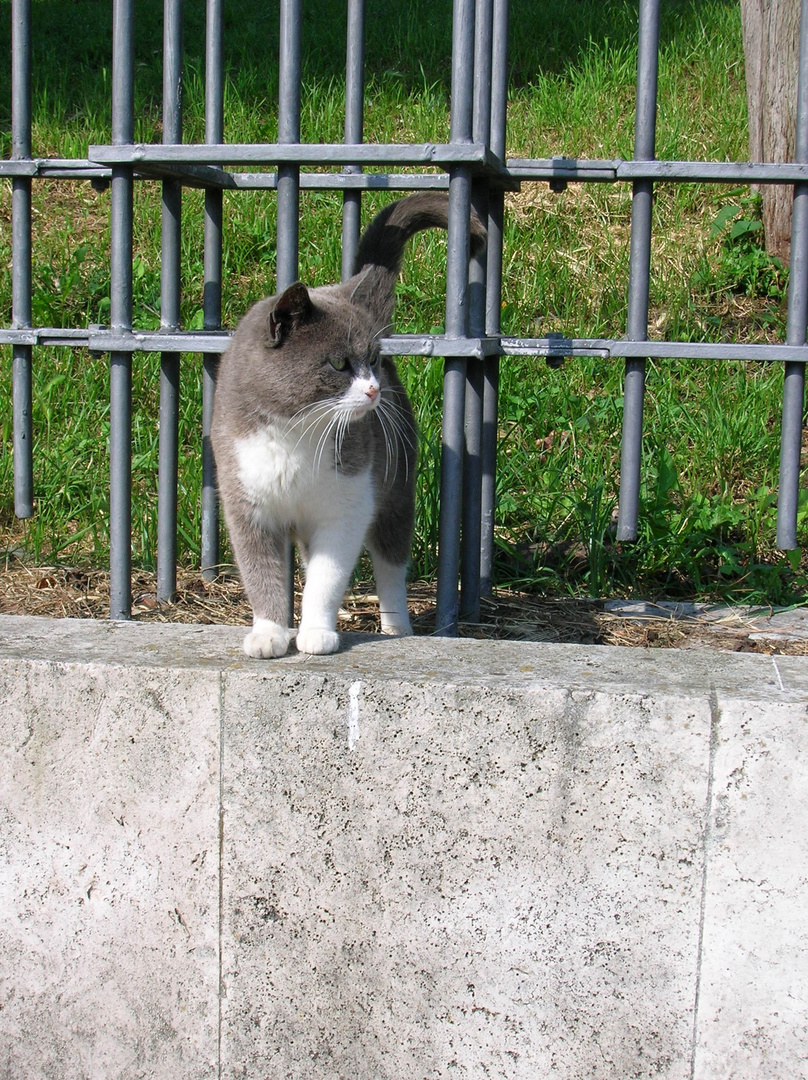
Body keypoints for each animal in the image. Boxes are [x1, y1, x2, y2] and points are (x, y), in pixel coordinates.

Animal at [209, 194, 486, 656]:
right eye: (339, 363)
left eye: (373, 359)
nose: (374, 389)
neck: (294, 434)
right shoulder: (248, 507)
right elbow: (262, 573)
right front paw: (269, 634)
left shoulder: (347, 508)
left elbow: (327, 578)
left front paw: (317, 633)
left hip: (396, 492)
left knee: (391, 564)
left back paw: (396, 627)